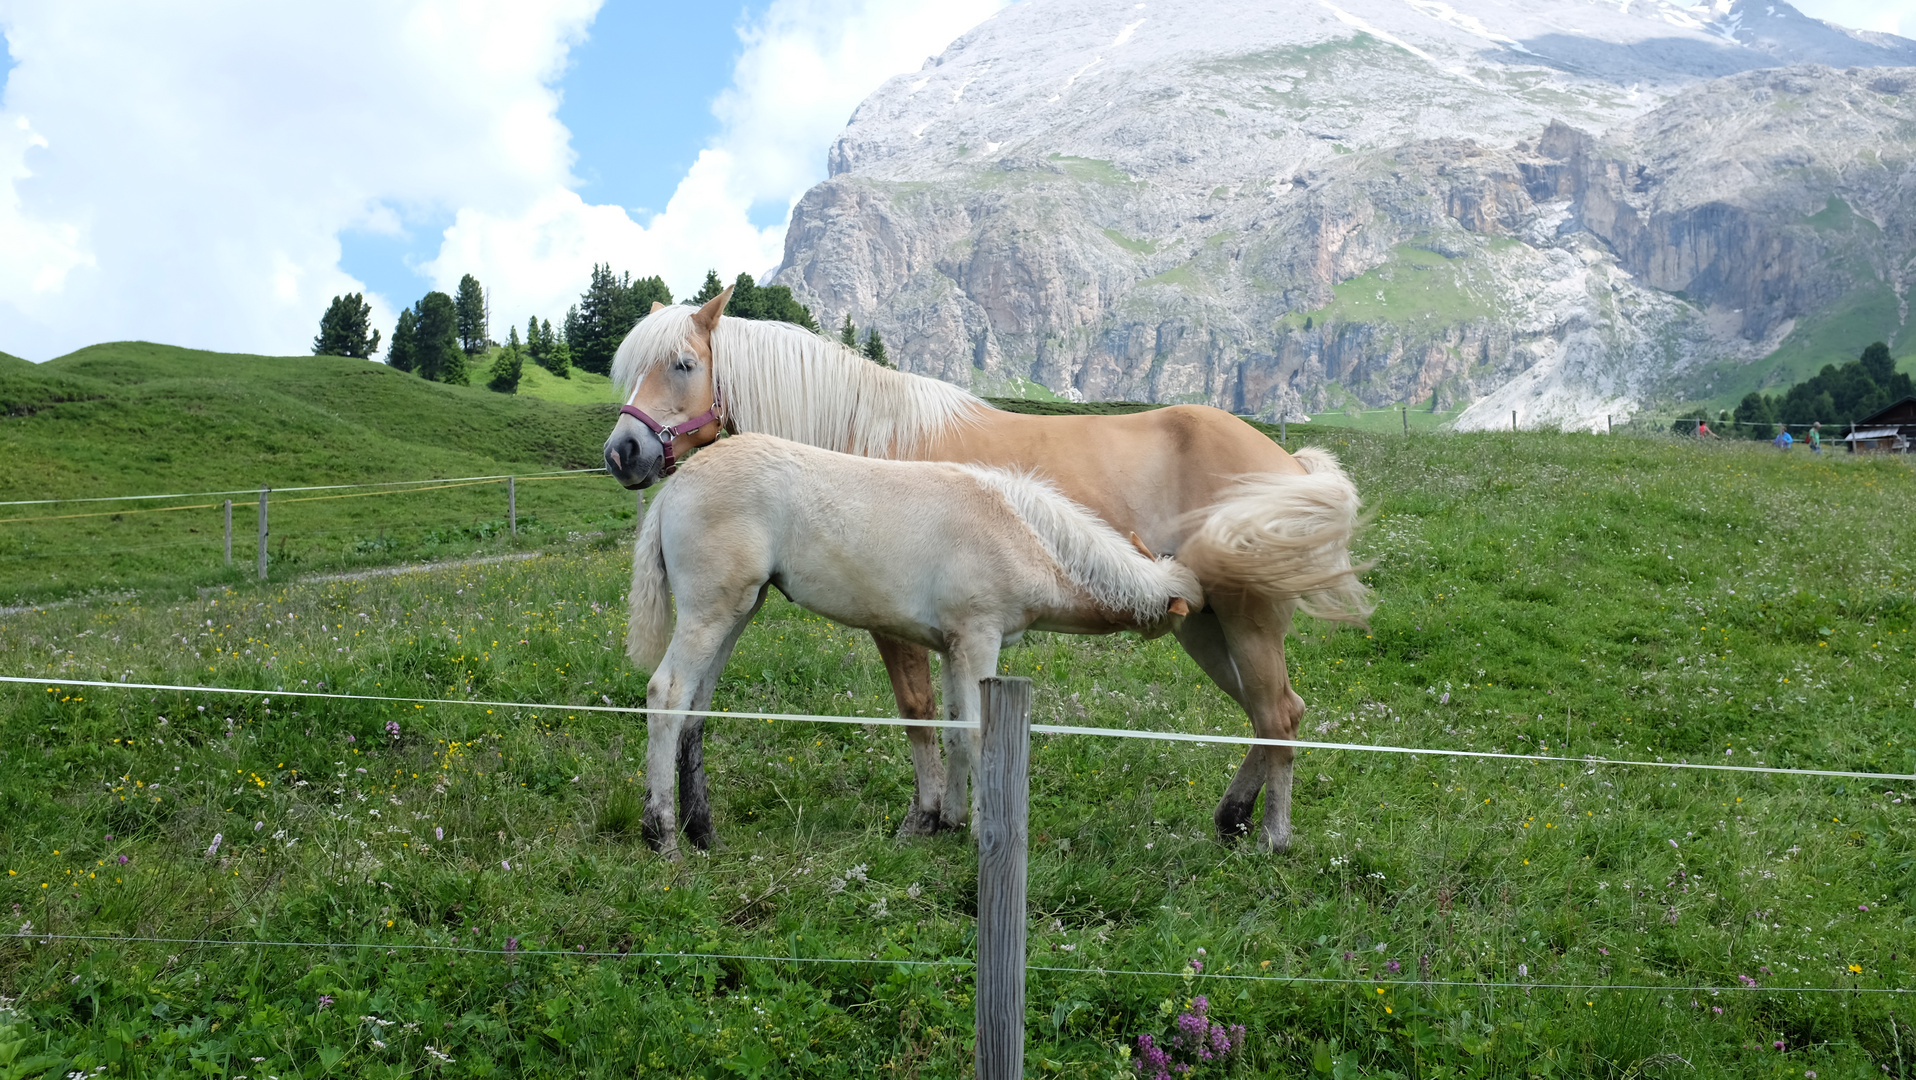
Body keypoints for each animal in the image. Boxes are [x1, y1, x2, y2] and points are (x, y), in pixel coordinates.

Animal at [628, 430, 1195, 861]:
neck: (1016, 529)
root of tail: (675, 487)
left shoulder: (951, 648)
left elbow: (952, 729)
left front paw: (948, 821)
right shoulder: (978, 638)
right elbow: (977, 735)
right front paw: (982, 834)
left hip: (740, 610)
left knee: (696, 709)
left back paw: (704, 833)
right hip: (709, 611)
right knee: (667, 694)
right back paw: (663, 838)